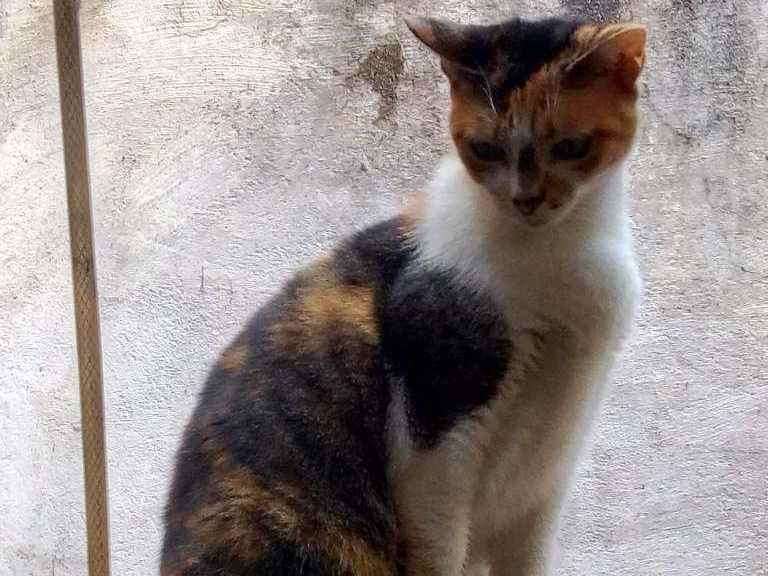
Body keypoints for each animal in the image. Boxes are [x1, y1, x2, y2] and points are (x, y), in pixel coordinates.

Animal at [161, 13, 646, 576]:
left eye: (570, 147)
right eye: (484, 149)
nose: (526, 199)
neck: (561, 252)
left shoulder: (545, 480)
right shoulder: (436, 440)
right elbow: (439, 544)